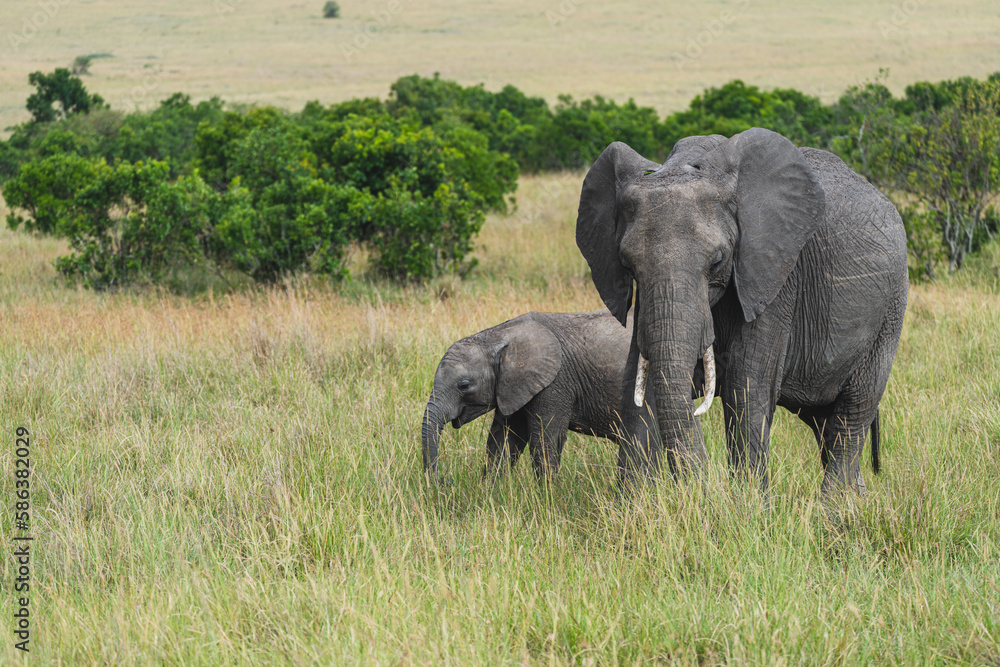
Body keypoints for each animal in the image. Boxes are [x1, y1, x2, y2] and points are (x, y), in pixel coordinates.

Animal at [421, 308, 659, 480]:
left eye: (464, 385)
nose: (443, 481)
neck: (499, 335)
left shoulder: (554, 383)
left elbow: (545, 441)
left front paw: (548, 497)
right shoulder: (513, 386)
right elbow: (503, 440)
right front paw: (490, 491)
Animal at [576, 128, 908, 496]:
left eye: (718, 261)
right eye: (626, 265)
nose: (702, 487)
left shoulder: (776, 275)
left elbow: (746, 386)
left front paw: (748, 505)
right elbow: (639, 386)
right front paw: (635, 504)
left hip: (891, 310)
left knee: (854, 410)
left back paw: (835, 505)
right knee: (825, 422)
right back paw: (857, 500)